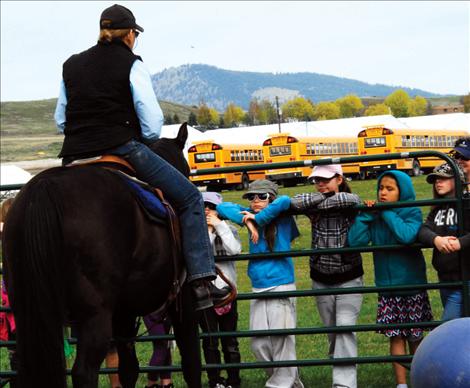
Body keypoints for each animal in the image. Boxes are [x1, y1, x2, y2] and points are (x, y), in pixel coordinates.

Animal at [3, 124, 202, 388]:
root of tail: (43, 190)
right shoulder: (184, 301)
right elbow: (192, 362)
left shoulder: (124, 312)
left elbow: (128, 368)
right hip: (94, 315)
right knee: (84, 372)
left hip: (30, 311)